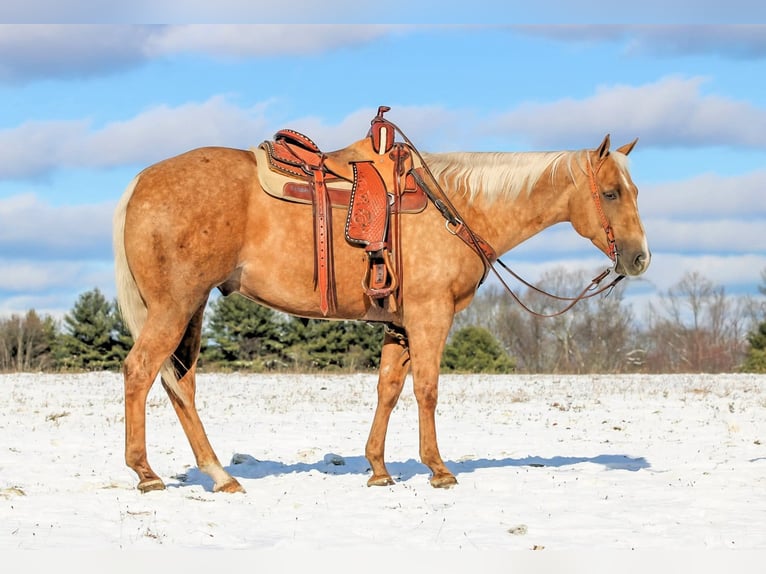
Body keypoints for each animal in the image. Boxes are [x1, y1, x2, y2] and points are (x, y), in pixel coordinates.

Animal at [113, 111, 650, 493]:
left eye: (635, 190)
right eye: (610, 192)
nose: (639, 258)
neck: (458, 207)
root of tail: (139, 182)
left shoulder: (399, 323)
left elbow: (388, 389)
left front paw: (378, 469)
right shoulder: (431, 317)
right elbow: (427, 389)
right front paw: (438, 469)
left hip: (191, 310)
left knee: (180, 384)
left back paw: (219, 475)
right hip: (175, 306)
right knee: (141, 372)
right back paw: (147, 473)